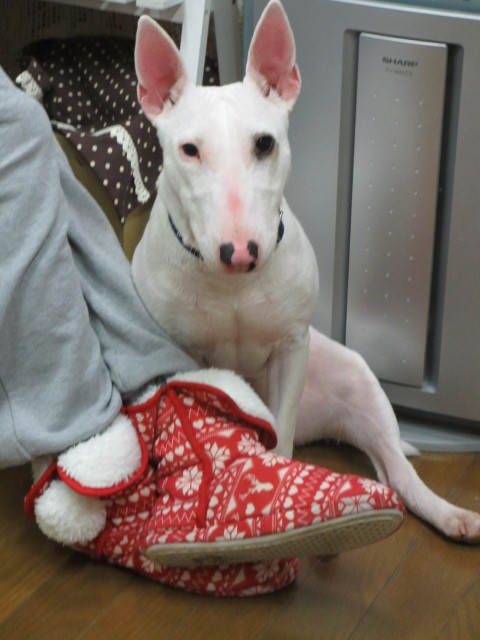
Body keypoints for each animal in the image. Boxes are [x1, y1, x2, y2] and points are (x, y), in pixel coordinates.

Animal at [132, 0, 480, 543]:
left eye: (265, 143)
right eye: (189, 150)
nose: (240, 252)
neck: (232, 287)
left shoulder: (292, 350)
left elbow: (282, 432)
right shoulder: (182, 359)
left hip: (356, 377)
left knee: (397, 470)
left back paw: (451, 515)